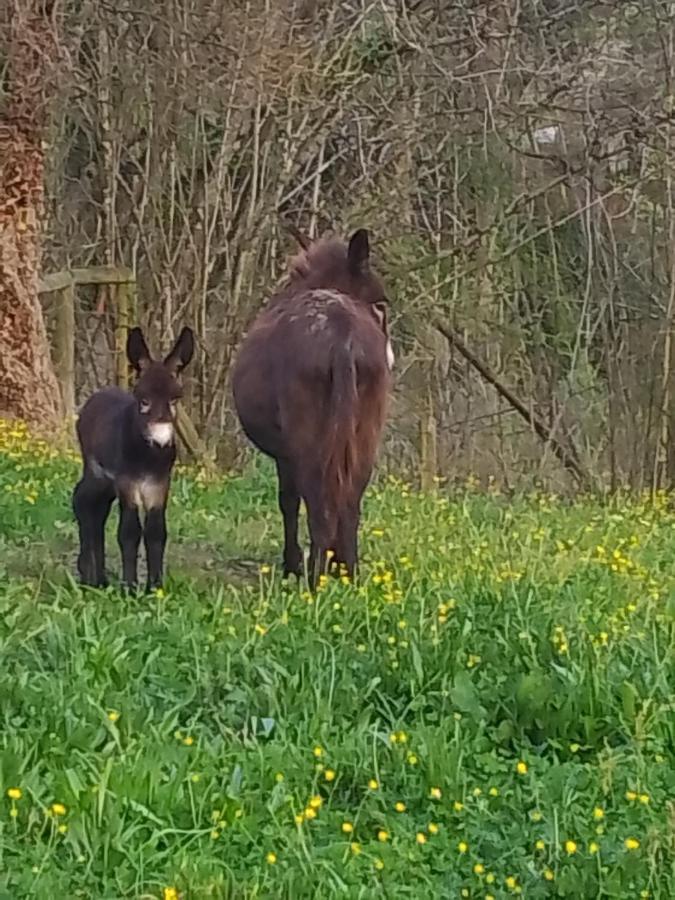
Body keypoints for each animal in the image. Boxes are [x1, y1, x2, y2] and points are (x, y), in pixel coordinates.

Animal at [73, 326, 194, 592]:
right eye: (144, 400)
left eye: (174, 400)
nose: (161, 443)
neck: (147, 458)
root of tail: (98, 395)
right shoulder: (127, 482)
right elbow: (129, 531)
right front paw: (129, 588)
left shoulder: (160, 483)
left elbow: (156, 532)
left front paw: (155, 588)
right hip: (97, 470)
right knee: (83, 501)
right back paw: (89, 577)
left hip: (107, 482)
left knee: (96, 508)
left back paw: (98, 578)